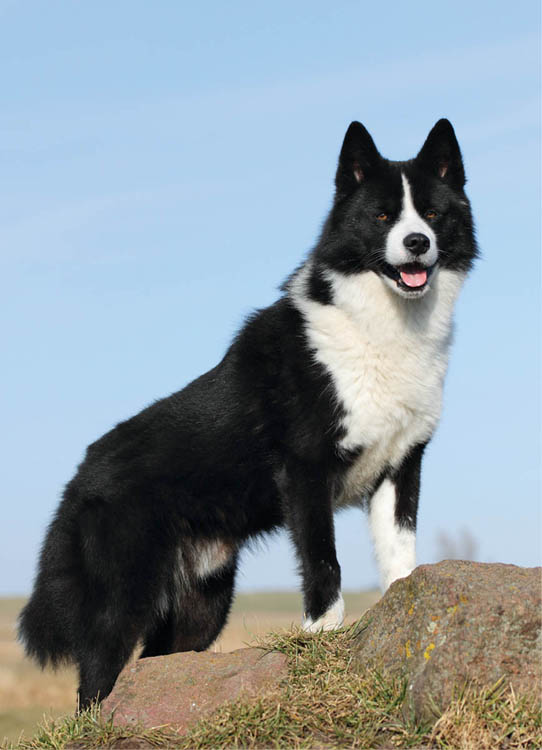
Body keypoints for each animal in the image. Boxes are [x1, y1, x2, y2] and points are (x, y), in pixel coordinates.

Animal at [19, 120, 478, 708]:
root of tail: (81, 475)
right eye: (381, 217)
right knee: (95, 682)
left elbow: (399, 555)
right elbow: (324, 562)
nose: (417, 243)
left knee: (155, 663)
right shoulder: (306, 471)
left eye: (433, 214)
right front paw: (320, 641)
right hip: (122, 602)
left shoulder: (402, 465)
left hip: (202, 604)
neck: (380, 327)